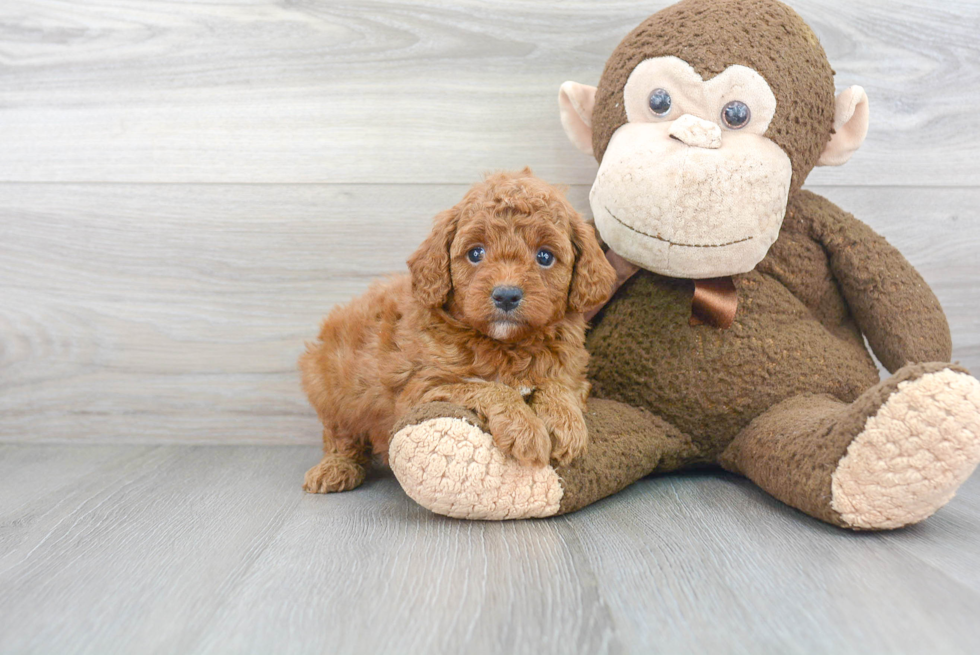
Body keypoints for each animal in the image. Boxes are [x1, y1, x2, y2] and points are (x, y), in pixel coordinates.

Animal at [302, 169, 616, 492]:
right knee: (340, 435)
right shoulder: (423, 389)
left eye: (544, 257)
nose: (506, 295)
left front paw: (566, 424)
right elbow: (487, 387)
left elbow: (557, 385)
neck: (507, 346)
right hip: (332, 386)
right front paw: (525, 429)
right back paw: (335, 468)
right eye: (476, 253)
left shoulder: (573, 373)